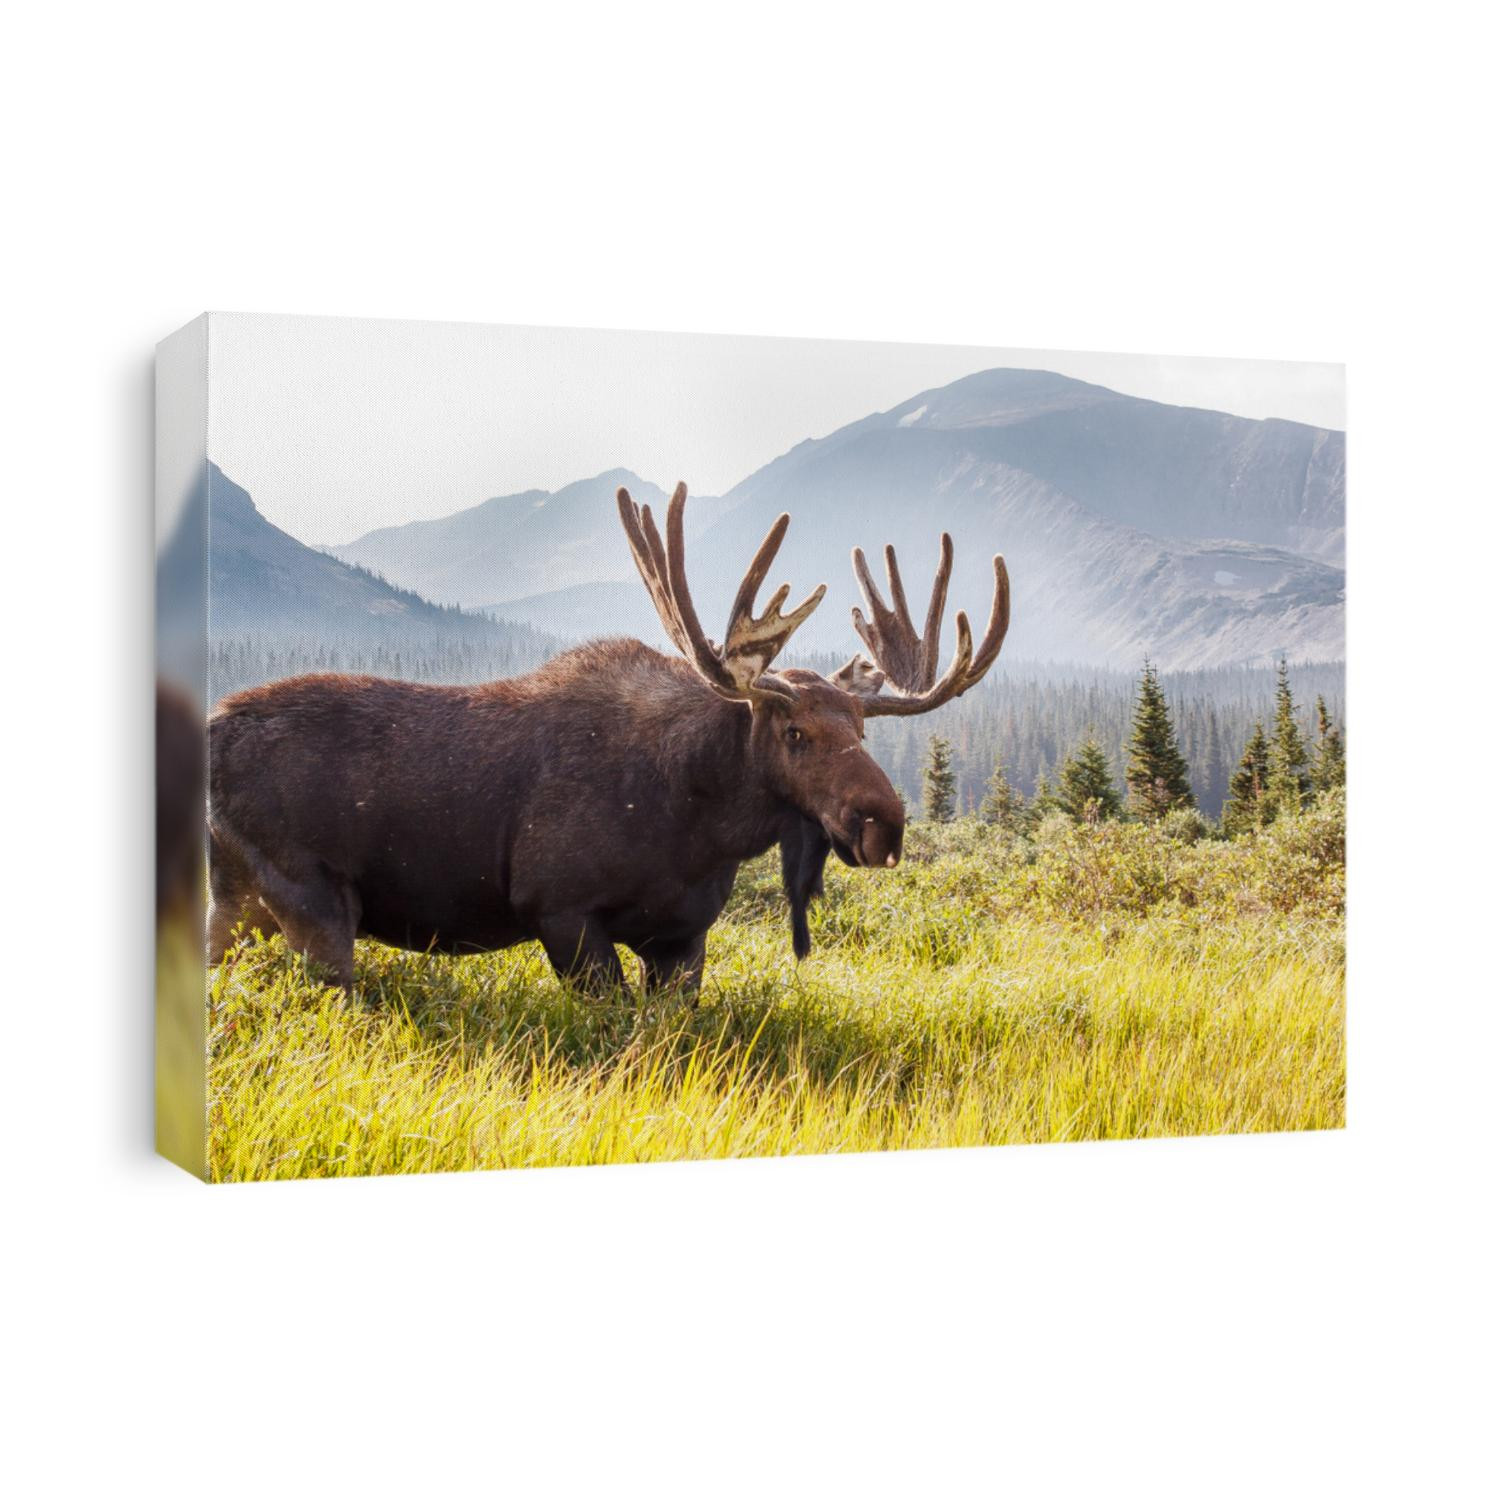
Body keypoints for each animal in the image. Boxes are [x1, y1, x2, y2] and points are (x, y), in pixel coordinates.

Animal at [207, 483, 1009, 996]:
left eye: (863, 727)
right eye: (794, 731)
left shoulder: (682, 937)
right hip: (311, 898)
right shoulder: (559, 910)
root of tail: (211, 732)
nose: (886, 824)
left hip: (238, 903)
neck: (701, 823)